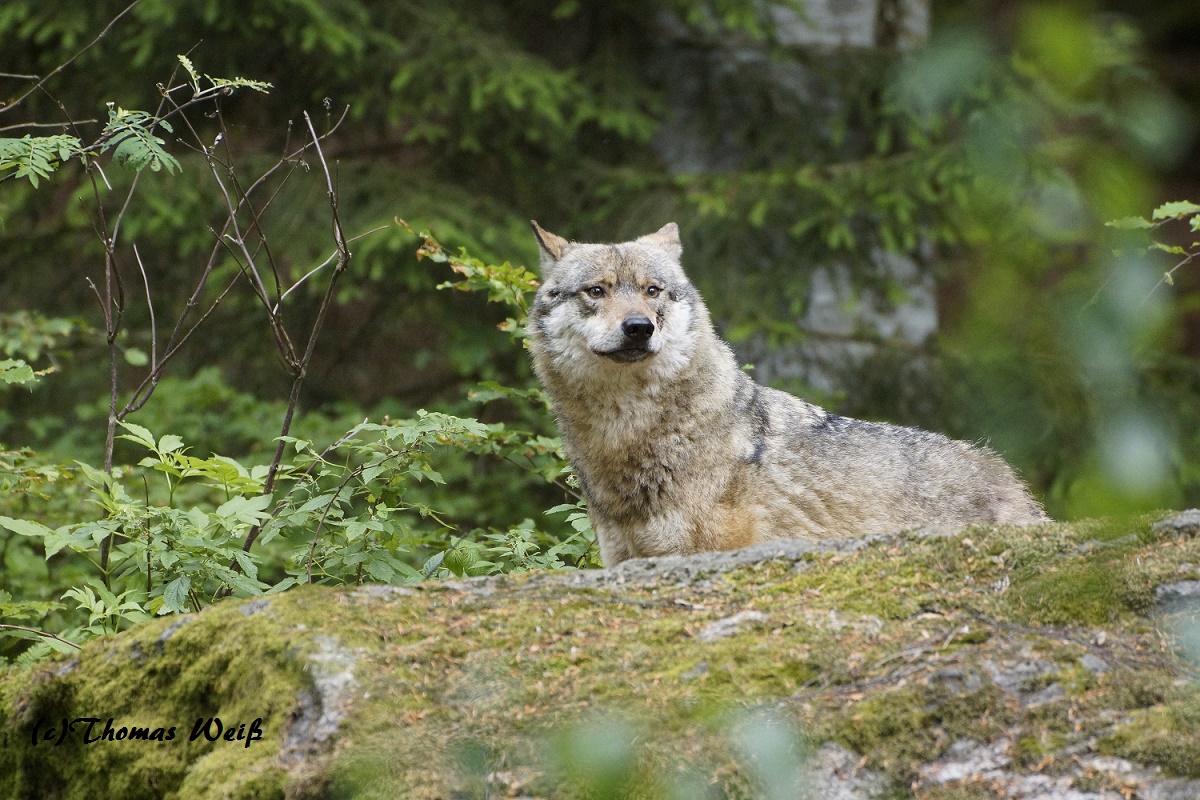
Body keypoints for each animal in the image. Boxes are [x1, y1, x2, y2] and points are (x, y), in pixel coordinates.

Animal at [528, 221, 1051, 566]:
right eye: (596, 291)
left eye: (652, 290)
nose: (638, 327)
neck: (629, 435)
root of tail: (1015, 486)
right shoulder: (623, 561)